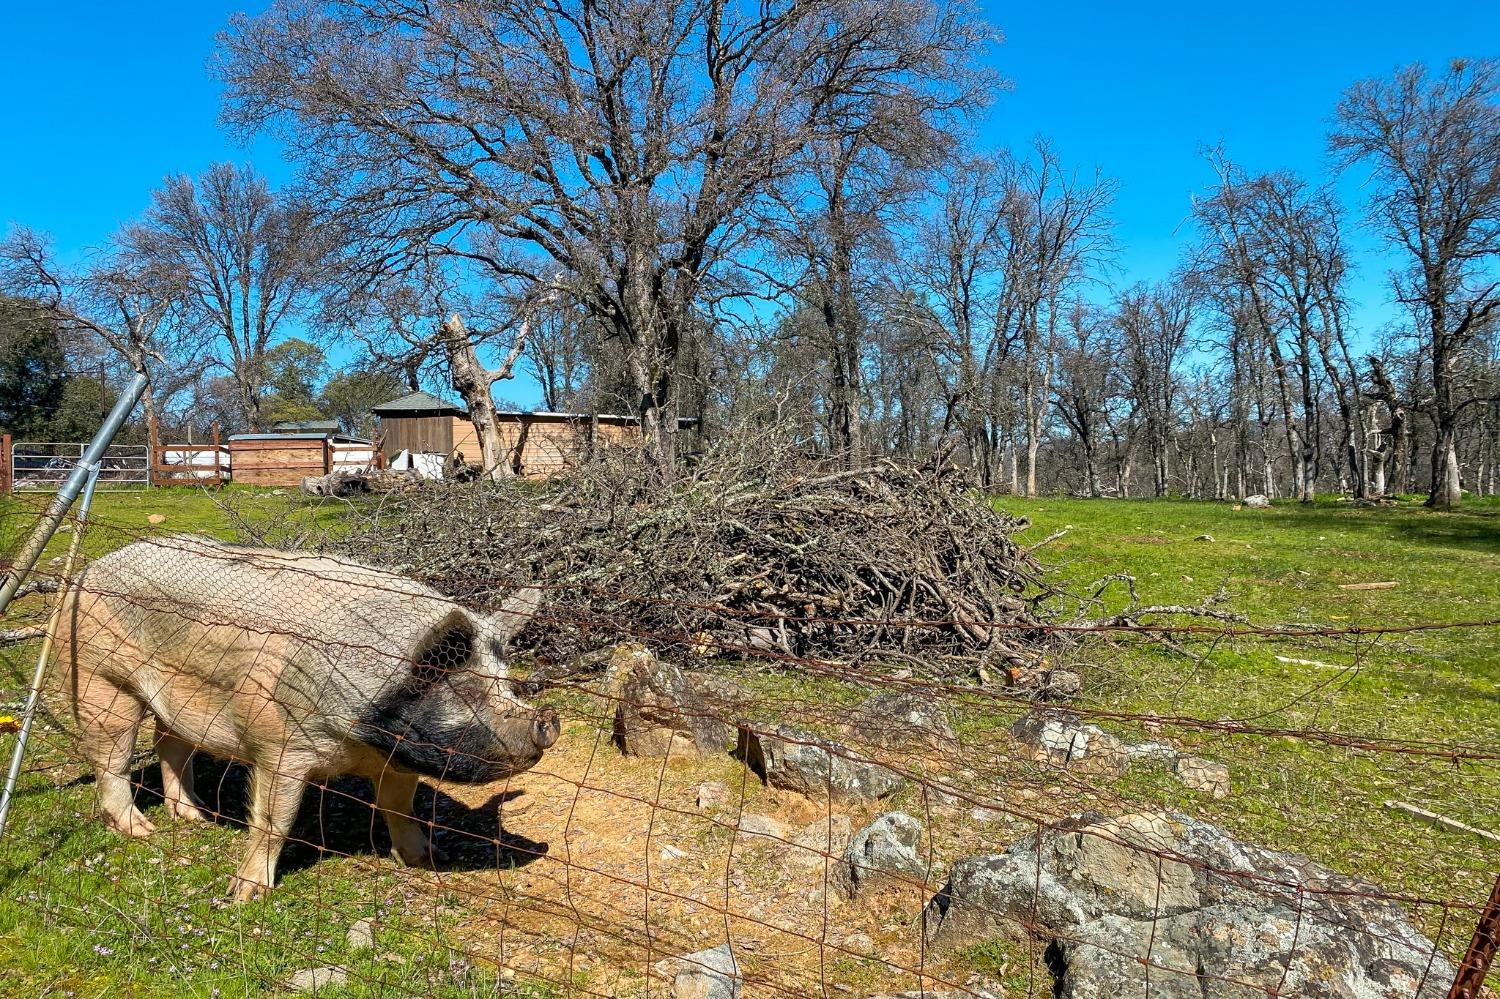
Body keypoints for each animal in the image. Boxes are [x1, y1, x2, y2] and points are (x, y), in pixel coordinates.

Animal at [52, 534, 561, 900]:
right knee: (112, 759)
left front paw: (424, 858)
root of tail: (88, 570)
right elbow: (274, 820)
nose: (548, 721)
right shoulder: (280, 746)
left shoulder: (397, 760)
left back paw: (196, 818)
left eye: (508, 681)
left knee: (170, 744)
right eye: (467, 690)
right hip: (99, 676)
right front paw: (245, 896)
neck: (363, 736)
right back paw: (143, 831)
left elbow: (399, 807)